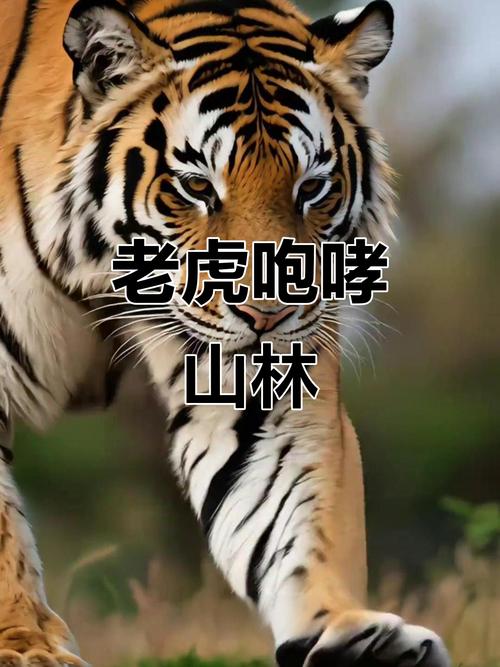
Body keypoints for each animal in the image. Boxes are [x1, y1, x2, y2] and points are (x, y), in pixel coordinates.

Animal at [0, 0, 451, 665]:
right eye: (196, 186)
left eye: (311, 188)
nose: (268, 312)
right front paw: (28, 645)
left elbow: (291, 502)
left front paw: (350, 634)